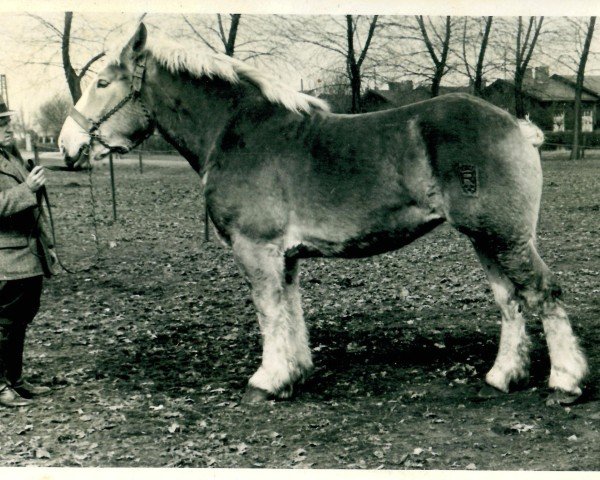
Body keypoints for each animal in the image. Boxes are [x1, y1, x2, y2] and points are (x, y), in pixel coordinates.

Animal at [59, 23, 584, 404]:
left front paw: (267, 381)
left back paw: (565, 383)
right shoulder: (284, 256)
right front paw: (296, 372)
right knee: (510, 301)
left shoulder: (256, 249)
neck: (236, 131)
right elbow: (289, 311)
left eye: (102, 83)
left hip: (505, 237)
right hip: (486, 239)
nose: (68, 145)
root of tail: (515, 124)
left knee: (543, 292)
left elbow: (269, 312)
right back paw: (503, 376)